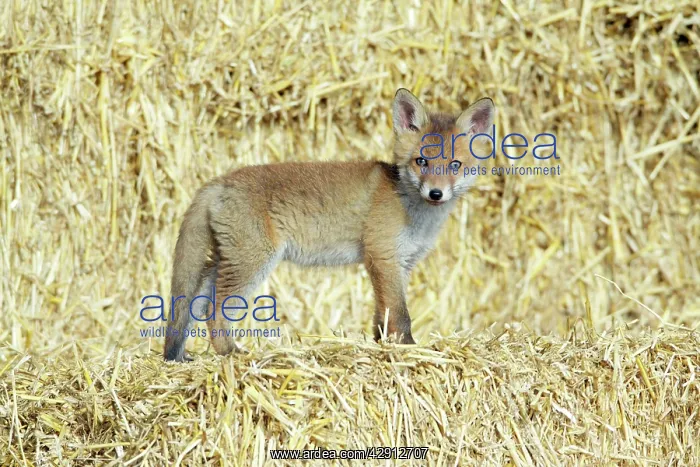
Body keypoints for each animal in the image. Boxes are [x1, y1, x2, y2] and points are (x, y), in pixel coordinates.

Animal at [163, 88, 495, 361]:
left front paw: (381, 346)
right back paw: (231, 353)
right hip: (252, 263)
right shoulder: (383, 256)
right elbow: (400, 315)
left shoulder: (399, 263)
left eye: (455, 165)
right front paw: (409, 349)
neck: (413, 210)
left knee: (196, 301)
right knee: (214, 310)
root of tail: (219, 181)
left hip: (225, 261)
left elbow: (383, 315)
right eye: (421, 162)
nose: (435, 194)